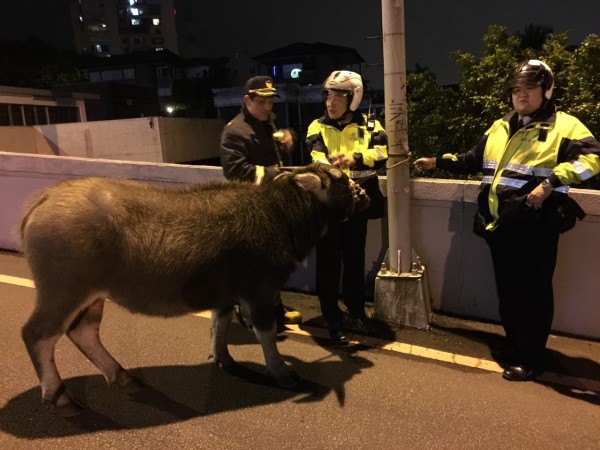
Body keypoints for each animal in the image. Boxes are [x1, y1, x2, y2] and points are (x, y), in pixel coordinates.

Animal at [19, 161, 370, 414]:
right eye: (340, 177)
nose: (364, 193)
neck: (279, 213)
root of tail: (44, 200)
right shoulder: (259, 290)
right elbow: (266, 334)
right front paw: (281, 371)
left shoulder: (226, 295)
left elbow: (219, 324)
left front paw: (223, 358)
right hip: (63, 291)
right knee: (37, 335)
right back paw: (60, 396)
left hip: (90, 295)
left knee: (83, 332)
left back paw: (123, 376)